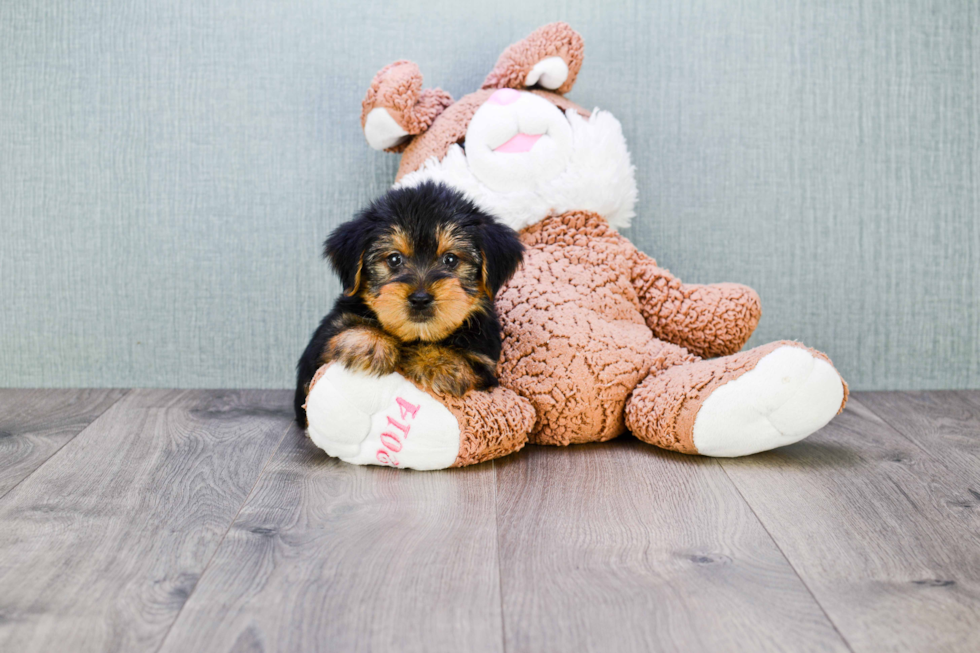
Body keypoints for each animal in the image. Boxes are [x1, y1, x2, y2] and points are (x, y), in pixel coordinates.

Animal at [294, 181, 524, 426]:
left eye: (451, 259)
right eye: (394, 259)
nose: (420, 298)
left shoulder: (486, 363)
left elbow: (470, 363)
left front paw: (441, 362)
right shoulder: (318, 350)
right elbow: (337, 333)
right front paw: (370, 341)